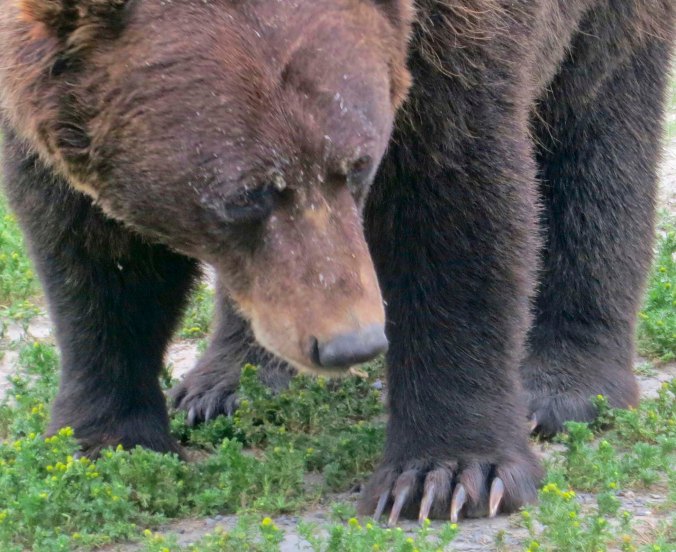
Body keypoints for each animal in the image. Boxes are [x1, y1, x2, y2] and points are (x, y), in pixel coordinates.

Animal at [0, 0, 673, 525]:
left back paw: (567, 387)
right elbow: (91, 252)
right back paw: (232, 382)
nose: (354, 341)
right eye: (244, 195)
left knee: (598, 137)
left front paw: (445, 476)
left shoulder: (448, 49)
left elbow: (454, 206)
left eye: (356, 165)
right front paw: (103, 442)